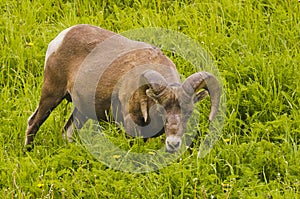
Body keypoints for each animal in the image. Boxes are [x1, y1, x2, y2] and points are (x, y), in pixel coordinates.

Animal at [25, 24, 220, 152]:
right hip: (51, 94)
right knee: (33, 122)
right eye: (161, 110)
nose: (173, 144)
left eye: (188, 111)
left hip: (82, 111)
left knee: (67, 133)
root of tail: (61, 38)